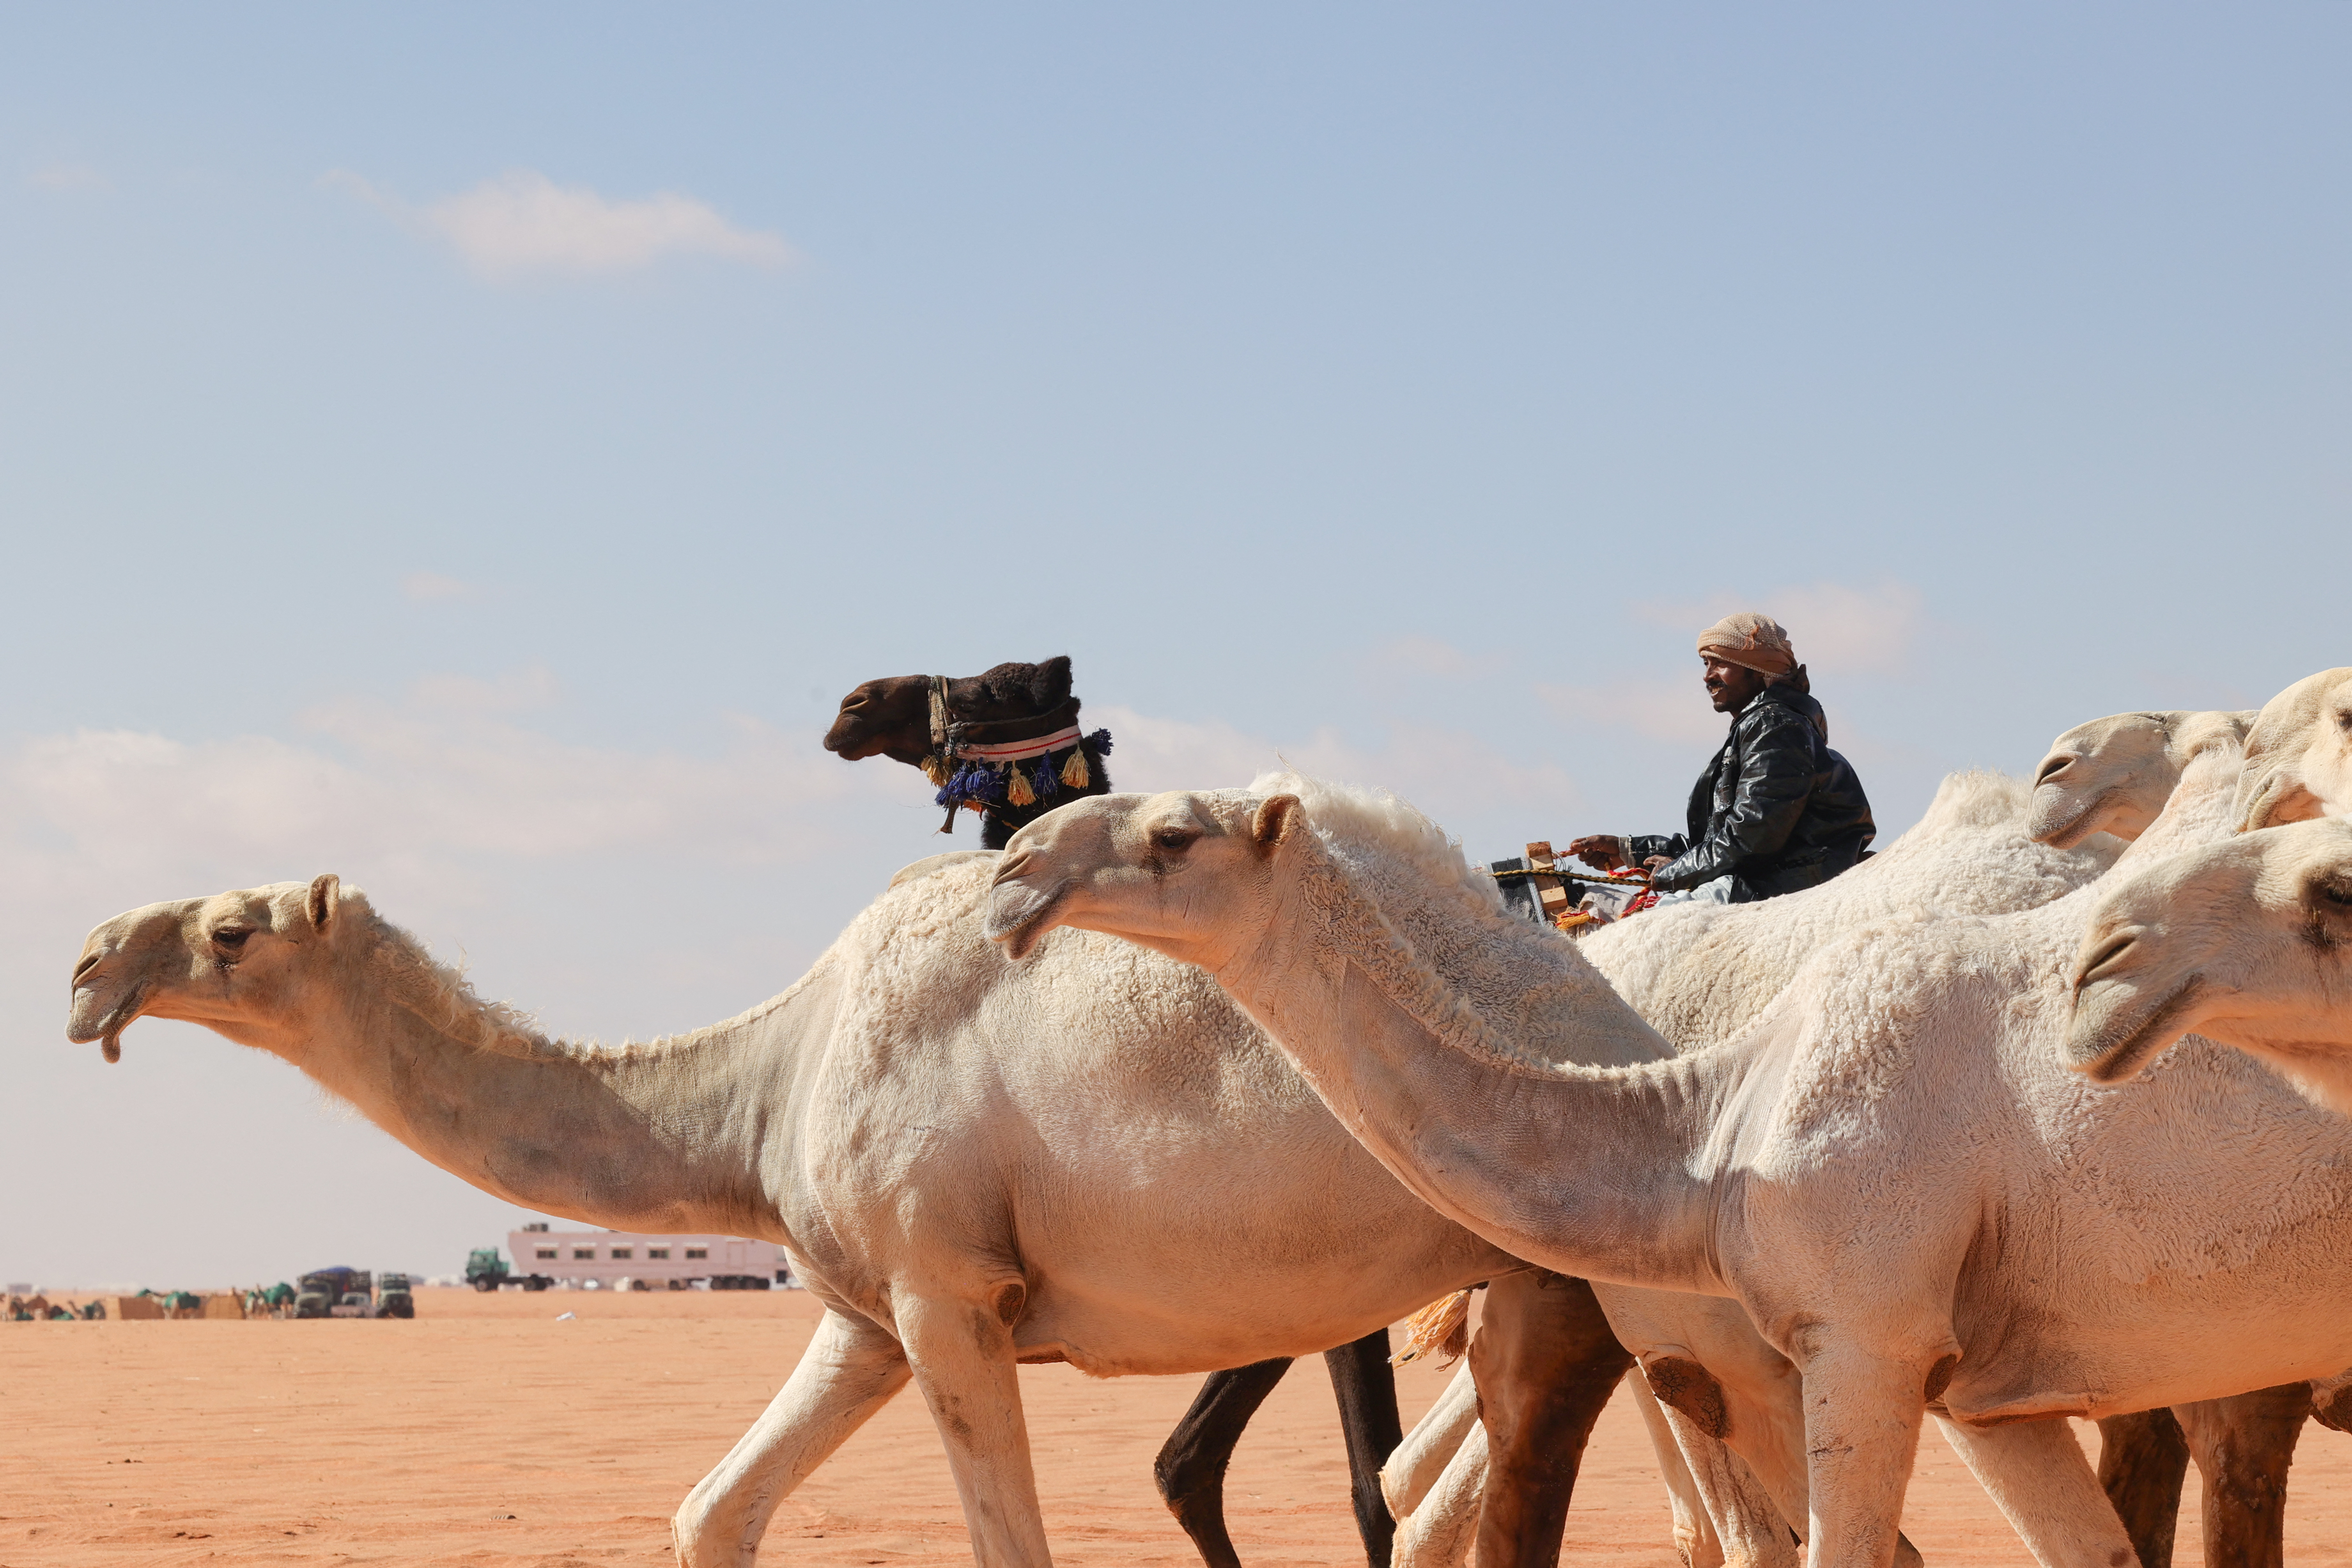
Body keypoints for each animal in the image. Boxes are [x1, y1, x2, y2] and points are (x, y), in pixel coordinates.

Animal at [69, 865, 1653, 1568]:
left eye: (229, 928)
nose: (88, 961)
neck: (768, 1079)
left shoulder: (949, 1290)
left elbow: (1012, 1551)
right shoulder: (864, 1310)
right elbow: (712, 1509)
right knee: (1447, 1488)